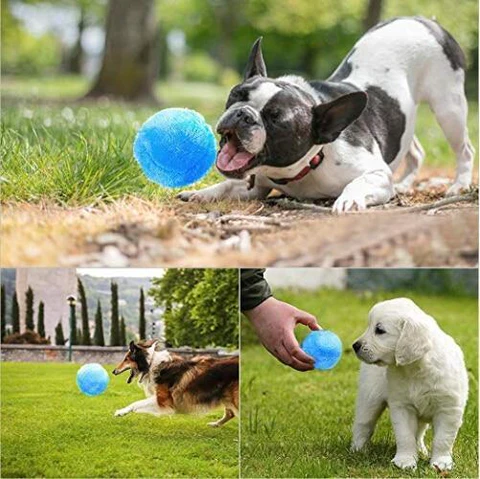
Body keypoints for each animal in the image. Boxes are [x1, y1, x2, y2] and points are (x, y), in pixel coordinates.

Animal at [350, 300, 466, 472]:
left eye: (380, 330)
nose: (355, 346)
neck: (416, 368)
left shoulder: (449, 408)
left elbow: (443, 439)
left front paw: (441, 462)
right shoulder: (402, 406)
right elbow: (405, 436)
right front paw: (405, 460)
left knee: (419, 432)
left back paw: (421, 450)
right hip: (369, 397)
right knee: (363, 424)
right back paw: (357, 449)